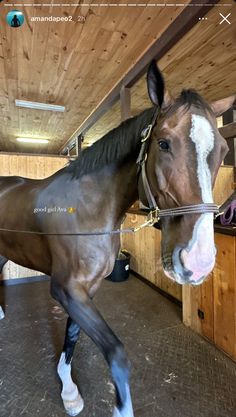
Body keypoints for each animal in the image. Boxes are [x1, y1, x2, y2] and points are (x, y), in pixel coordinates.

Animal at [0, 62, 234, 416]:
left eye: (222, 151)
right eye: (163, 143)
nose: (198, 260)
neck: (87, 208)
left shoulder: (87, 289)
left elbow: (72, 335)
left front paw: (69, 389)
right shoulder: (65, 289)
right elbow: (117, 355)